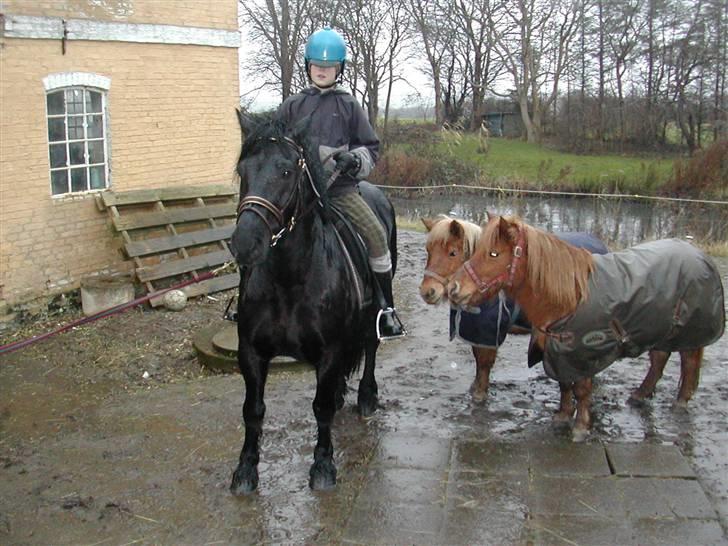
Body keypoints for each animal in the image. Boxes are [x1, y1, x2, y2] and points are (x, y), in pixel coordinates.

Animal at [229, 110, 396, 492]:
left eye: (286, 171)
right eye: (242, 171)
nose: (244, 243)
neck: (289, 279)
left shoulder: (330, 350)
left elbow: (320, 409)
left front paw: (322, 466)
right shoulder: (251, 352)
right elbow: (252, 410)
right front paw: (245, 470)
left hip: (373, 313)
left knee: (370, 347)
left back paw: (367, 396)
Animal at [446, 215, 724, 440]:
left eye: (493, 253)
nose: (454, 289)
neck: (570, 297)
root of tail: (699, 254)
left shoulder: (583, 353)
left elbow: (580, 389)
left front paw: (580, 427)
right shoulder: (559, 352)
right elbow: (564, 384)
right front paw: (562, 416)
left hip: (689, 334)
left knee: (688, 364)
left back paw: (680, 404)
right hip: (660, 331)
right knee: (659, 359)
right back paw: (639, 396)